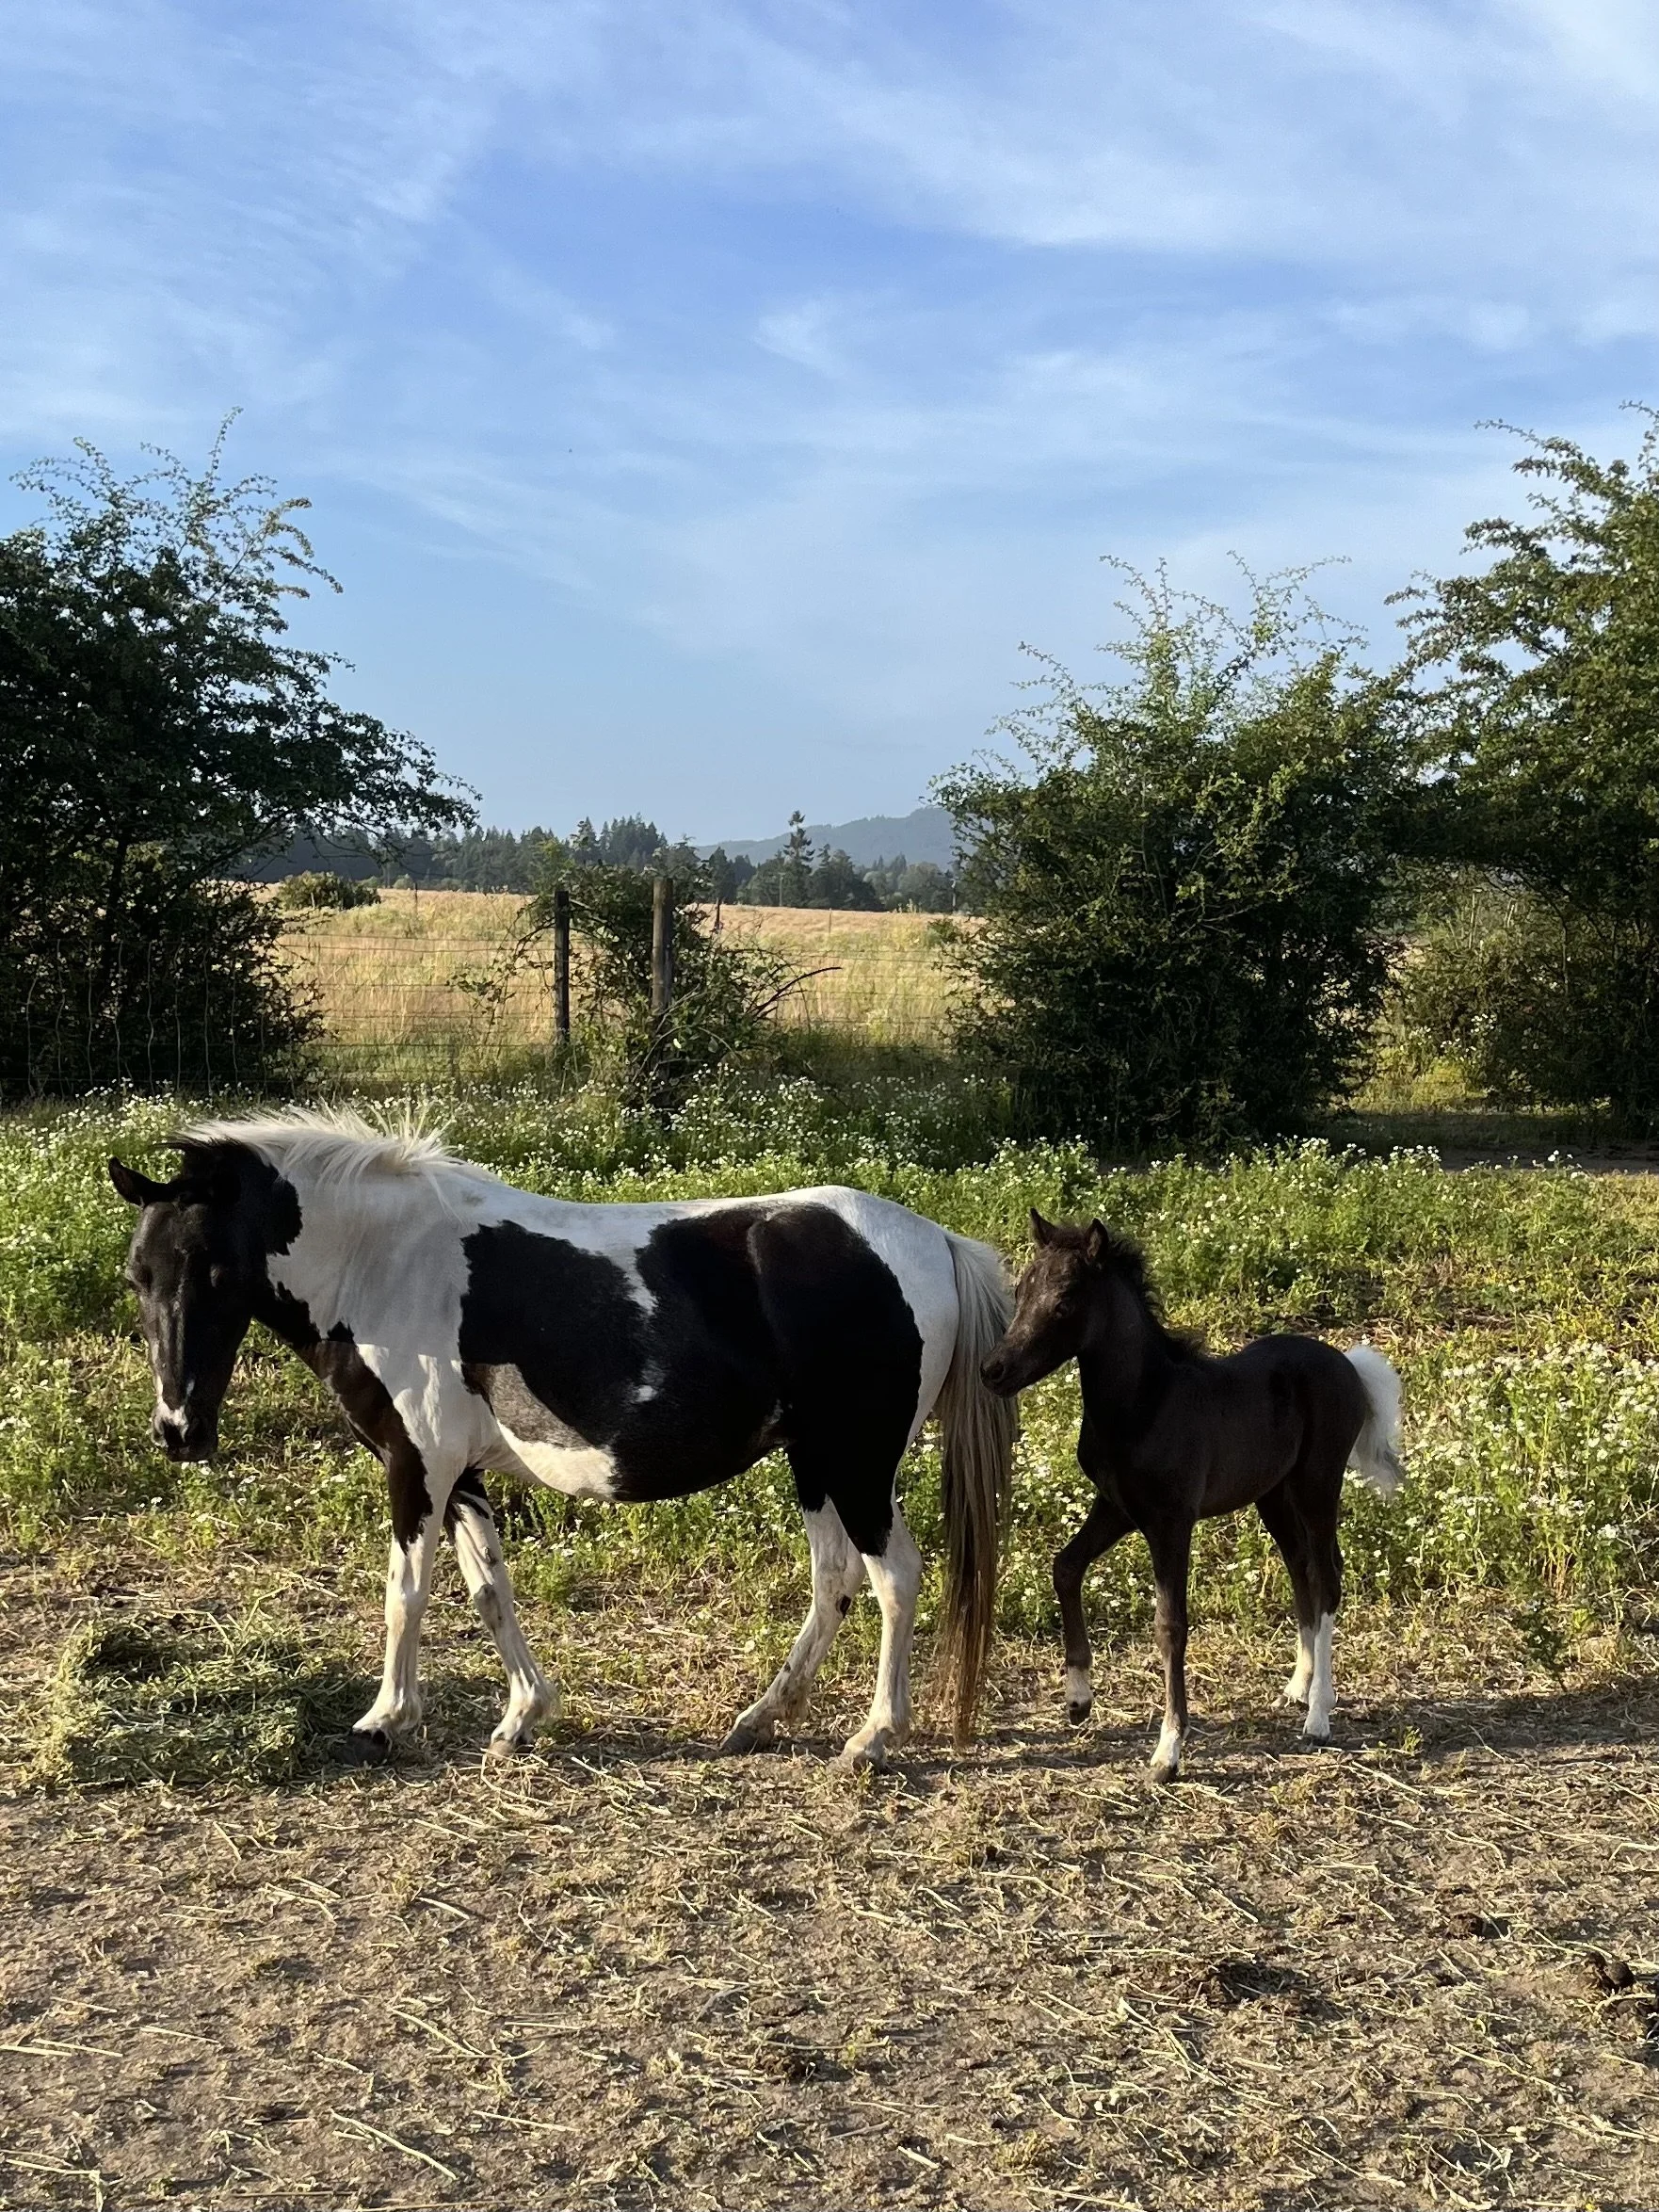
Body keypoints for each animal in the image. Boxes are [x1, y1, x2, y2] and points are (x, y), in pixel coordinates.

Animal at [109, 1110, 1016, 1769]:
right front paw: (521, 1717)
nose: (179, 1430)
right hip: (815, 1461)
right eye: (139, 1274)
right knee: (835, 1582)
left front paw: (383, 1720)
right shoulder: (460, 1474)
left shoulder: (417, 1466)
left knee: (895, 1579)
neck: (386, 1265)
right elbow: (489, 1591)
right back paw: (760, 1718)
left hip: (856, 1463)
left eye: (215, 1271)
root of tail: (935, 1240)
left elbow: (407, 1592)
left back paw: (873, 1738)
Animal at [980, 1211, 1403, 1782]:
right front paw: (1078, 1699)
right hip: (1273, 1495)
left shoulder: (1171, 1521)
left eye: (1066, 1299)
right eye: (1022, 1290)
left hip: (1318, 1485)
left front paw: (1168, 1751)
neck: (1143, 1404)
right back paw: (1297, 1687)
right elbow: (1064, 1567)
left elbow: (1170, 1626)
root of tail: (1349, 1365)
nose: (993, 1371)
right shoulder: (1116, 1506)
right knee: (1301, 1572)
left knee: (1326, 1576)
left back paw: (1318, 1716)